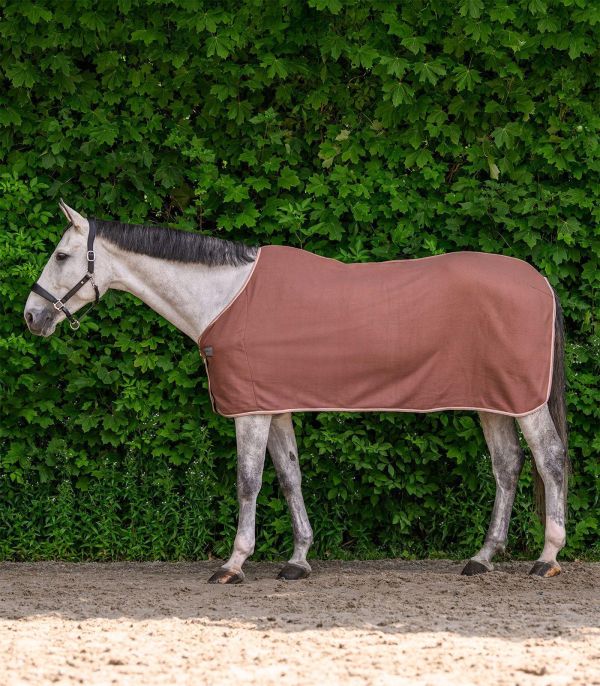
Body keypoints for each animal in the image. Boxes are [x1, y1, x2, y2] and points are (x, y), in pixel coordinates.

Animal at [24, 201, 569, 583]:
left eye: (61, 255)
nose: (32, 316)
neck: (225, 296)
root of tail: (541, 280)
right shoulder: (274, 405)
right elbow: (289, 477)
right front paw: (299, 559)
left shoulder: (250, 411)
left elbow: (248, 482)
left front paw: (233, 563)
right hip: (492, 401)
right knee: (507, 466)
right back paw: (482, 557)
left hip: (525, 400)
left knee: (550, 458)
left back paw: (547, 557)